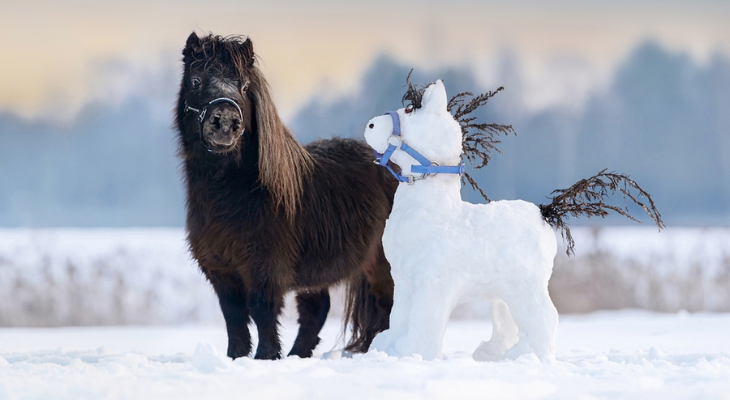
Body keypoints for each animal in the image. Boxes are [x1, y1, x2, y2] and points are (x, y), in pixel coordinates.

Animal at [175, 32, 397, 360]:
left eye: (244, 85)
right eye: (196, 80)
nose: (225, 121)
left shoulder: (266, 268)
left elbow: (262, 311)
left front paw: (266, 357)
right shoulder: (221, 271)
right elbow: (234, 316)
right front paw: (236, 357)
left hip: (381, 266)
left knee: (386, 304)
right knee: (317, 311)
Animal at [363, 79, 664, 361]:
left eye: (410, 110)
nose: (369, 124)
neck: (436, 209)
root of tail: (545, 212)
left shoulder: (433, 282)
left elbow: (425, 320)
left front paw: (413, 352)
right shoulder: (405, 283)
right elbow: (401, 318)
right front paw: (389, 347)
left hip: (525, 287)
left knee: (546, 317)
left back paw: (525, 354)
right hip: (503, 291)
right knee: (507, 324)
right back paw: (492, 353)